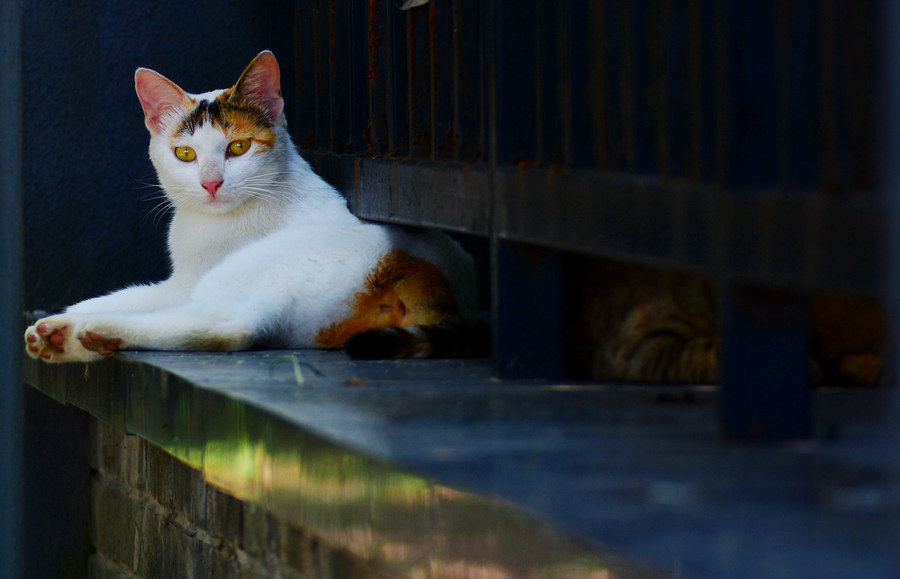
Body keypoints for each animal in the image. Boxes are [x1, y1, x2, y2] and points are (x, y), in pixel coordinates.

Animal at [22, 52, 486, 364]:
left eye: (239, 147)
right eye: (185, 154)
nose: (211, 182)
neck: (212, 223)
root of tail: (426, 272)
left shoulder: (193, 282)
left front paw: (71, 322)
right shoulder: (181, 282)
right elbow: (124, 296)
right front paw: (55, 322)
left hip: (254, 269)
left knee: (228, 330)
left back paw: (96, 332)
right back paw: (69, 337)